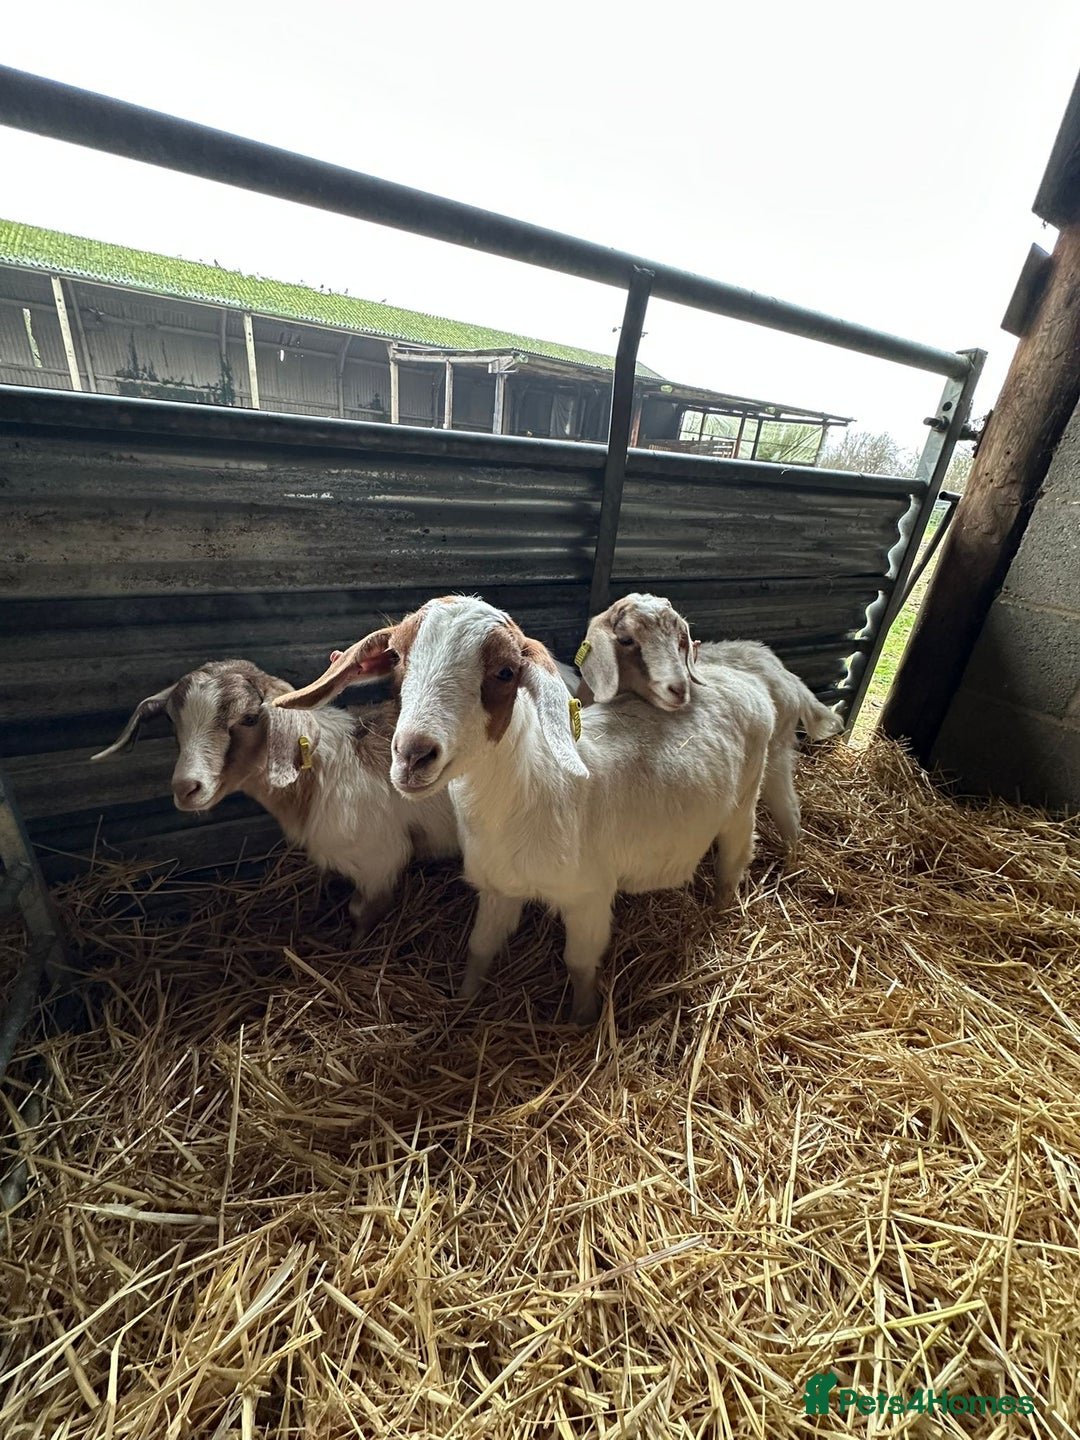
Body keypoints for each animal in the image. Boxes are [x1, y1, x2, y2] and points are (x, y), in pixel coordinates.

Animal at [91, 658, 459, 940]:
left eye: (249, 718)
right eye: (171, 720)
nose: (185, 787)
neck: (318, 772)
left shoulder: (378, 860)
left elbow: (361, 912)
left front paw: (355, 950)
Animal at [274, 597, 775, 1024]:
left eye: (504, 671)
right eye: (397, 656)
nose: (413, 755)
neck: (529, 790)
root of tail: (739, 678)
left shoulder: (588, 896)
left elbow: (578, 963)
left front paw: (582, 1021)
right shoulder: (498, 888)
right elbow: (479, 948)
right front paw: (464, 1002)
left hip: (745, 799)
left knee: (736, 855)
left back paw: (721, 908)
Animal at [574, 594, 843, 853]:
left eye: (681, 640)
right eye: (626, 640)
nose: (679, 688)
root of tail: (790, 678)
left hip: (774, 753)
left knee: (786, 807)